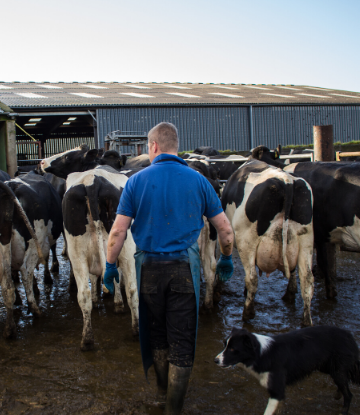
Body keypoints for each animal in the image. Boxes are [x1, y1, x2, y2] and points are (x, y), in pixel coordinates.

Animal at [222, 161, 316, 326]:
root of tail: (287, 181)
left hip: (246, 240)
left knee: (252, 278)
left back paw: (247, 312)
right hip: (306, 242)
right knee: (307, 280)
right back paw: (306, 320)